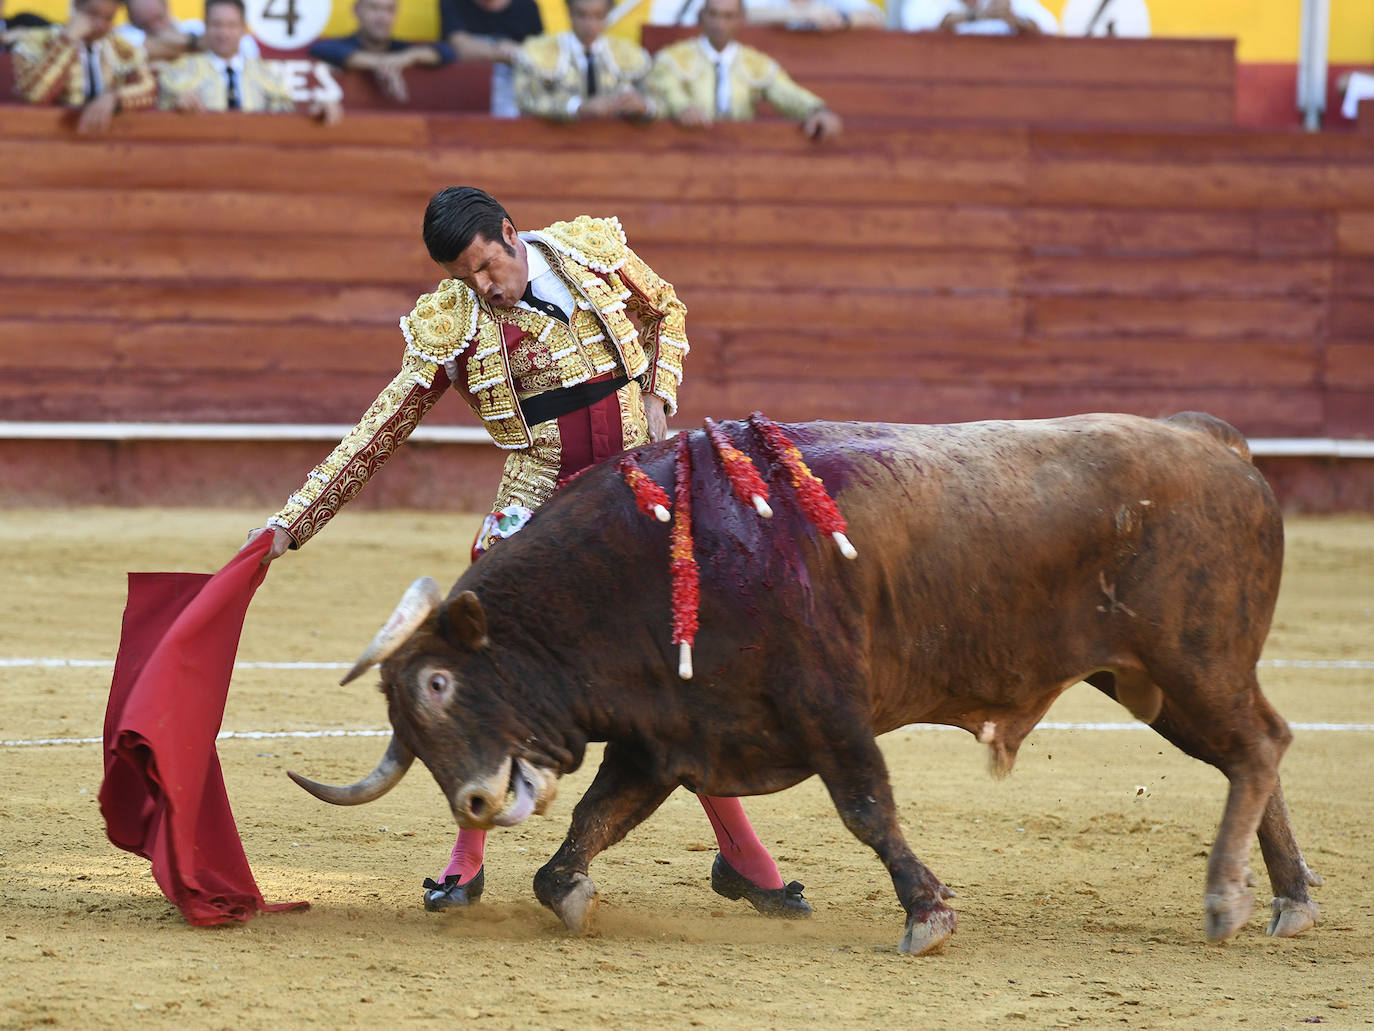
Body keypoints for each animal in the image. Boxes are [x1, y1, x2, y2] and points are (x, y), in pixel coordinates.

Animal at [289, 409, 1319, 951]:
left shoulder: (830, 710)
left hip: (1191, 662)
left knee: (1261, 746)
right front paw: (571, 891)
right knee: (1253, 756)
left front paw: (927, 913)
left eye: (437, 685)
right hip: (1158, 678)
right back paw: (1286, 899)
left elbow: (868, 808)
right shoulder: (665, 735)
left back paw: (1228, 899)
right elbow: (594, 819)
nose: (470, 799)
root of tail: (1212, 440)